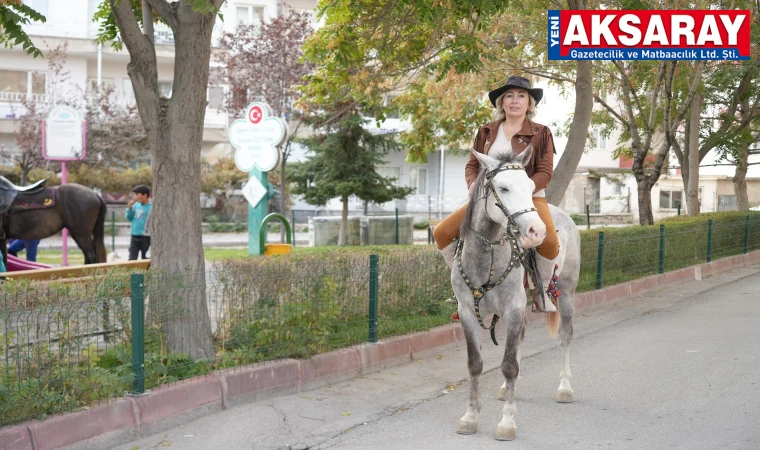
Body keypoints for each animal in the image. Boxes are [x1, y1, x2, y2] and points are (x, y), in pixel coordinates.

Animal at [452, 146, 580, 442]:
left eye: (531, 187)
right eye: (503, 187)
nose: (536, 231)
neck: (485, 258)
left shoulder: (512, 308)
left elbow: (509, 364)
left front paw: (507, 423)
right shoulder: (467, 312)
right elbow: (475, 363)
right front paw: (470, 417)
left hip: (566, 293)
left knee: (566, 336)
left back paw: (565, 388)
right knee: (521, 337)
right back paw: (506, 388)